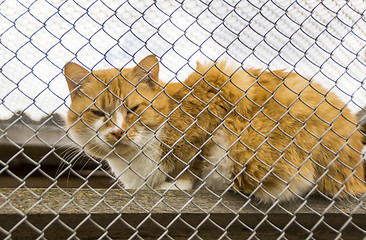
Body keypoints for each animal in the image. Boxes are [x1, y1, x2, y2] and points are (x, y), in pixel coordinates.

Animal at [63, 54, 366, 202]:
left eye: (133, 110)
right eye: (98, 113)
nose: (117, 132)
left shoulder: (216, 99)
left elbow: (191, 163)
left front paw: (175, 185)